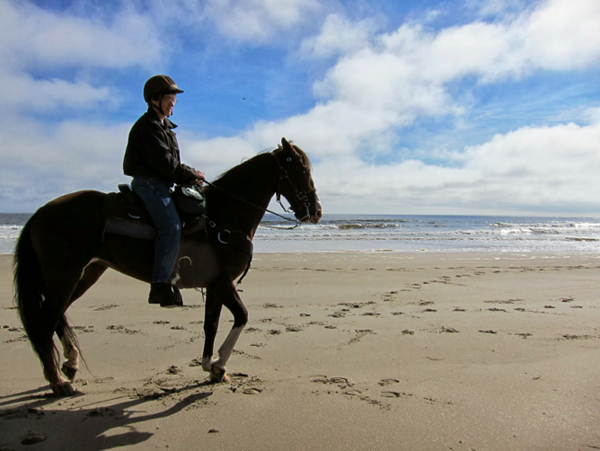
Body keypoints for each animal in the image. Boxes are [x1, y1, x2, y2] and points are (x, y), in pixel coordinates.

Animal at [11, 137, 322, 396]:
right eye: (302, 169)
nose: (317, 212)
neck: (222, 217)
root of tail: (40, 212)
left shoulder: (214, 286)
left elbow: (211, 324)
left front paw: (210, 367)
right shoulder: (223, 283)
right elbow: (242, 316)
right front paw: (220, 364)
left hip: (84, 275)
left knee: (57, 316)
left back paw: (70, 364)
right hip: (65, 276)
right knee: (45, 321)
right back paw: (58, 382)